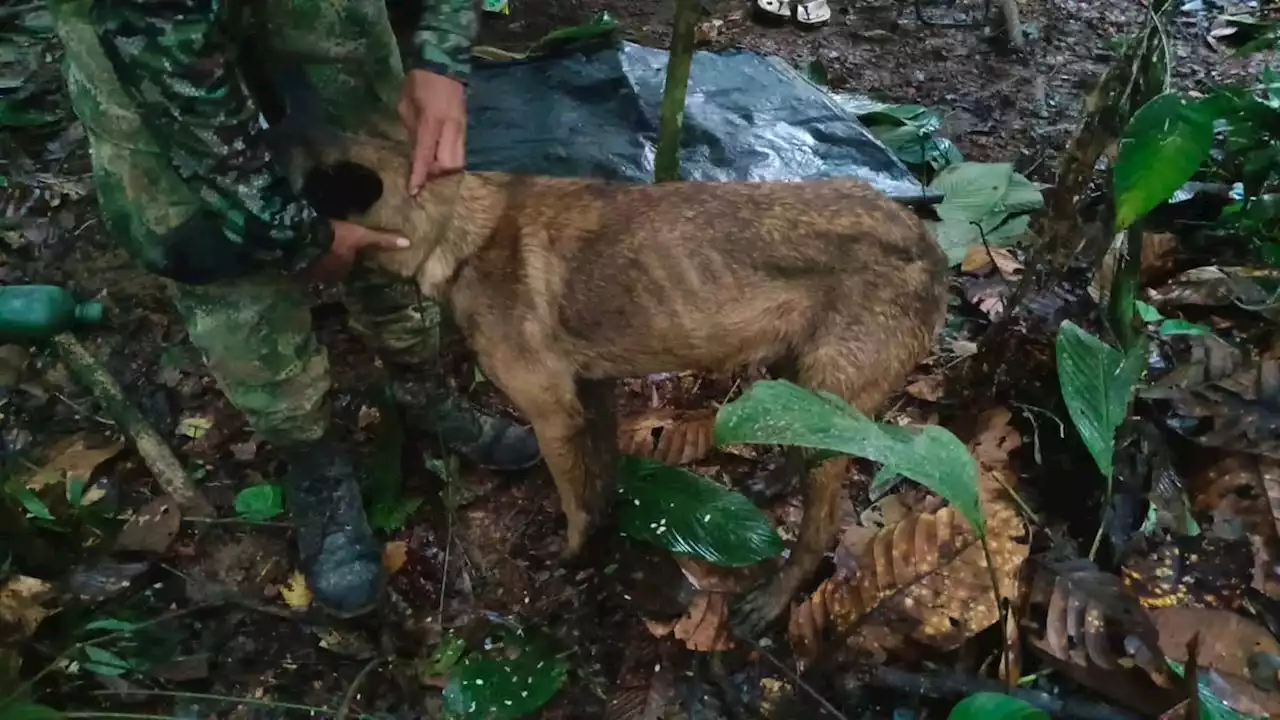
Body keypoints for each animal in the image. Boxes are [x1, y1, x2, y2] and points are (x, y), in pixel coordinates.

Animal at [290, 120, 952, 630]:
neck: (461, 228)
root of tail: (929, 243)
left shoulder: (553, 412)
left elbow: (575, 499)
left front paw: (573, 554)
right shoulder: (594, 393)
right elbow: (602, 477)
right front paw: (608, 531)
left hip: (831, 397)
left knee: (821, 528)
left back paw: (775, 598)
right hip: (797, 375)